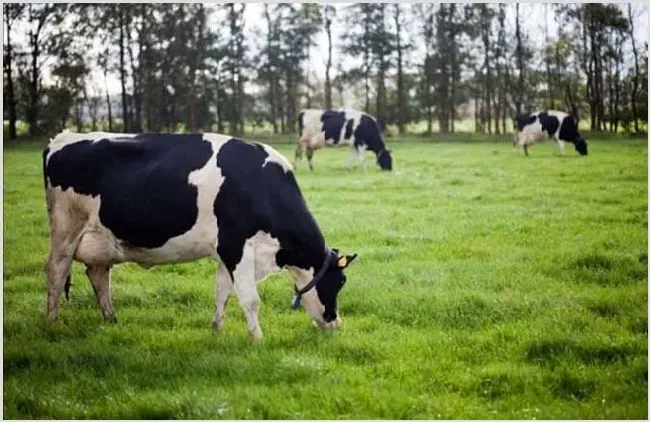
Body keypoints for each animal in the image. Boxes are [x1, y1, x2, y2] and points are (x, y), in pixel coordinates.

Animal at [43, 130, 356, 342]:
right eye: (340, 282)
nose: (335, 322)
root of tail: (63, 136)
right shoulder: (236, 247)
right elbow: (250, 299)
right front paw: (258, 339)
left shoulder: (226, 253)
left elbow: (222, 293)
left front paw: (217, 330)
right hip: (66, 228)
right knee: (56, 271)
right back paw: (52, 322)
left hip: (100, 239)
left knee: (98, 275)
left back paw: (111, 319)